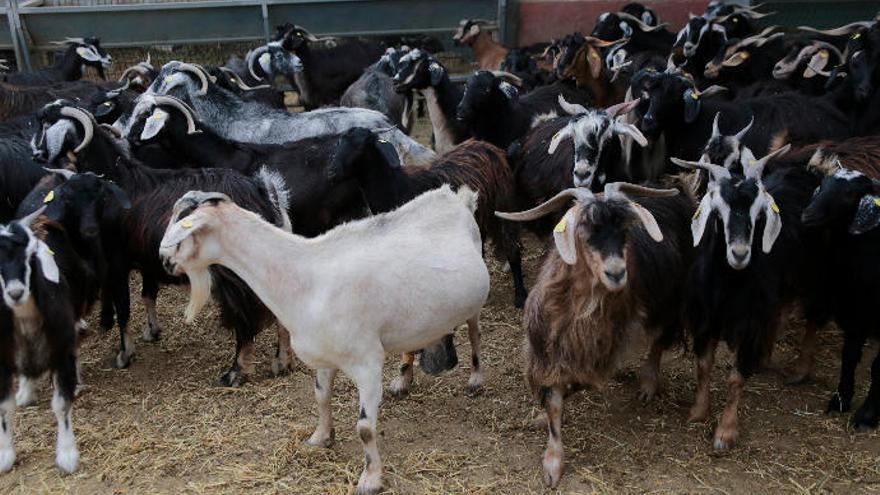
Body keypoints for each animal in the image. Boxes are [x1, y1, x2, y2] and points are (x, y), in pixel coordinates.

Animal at [32, 101, 294, 388]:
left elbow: (124, 307)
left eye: (49, 125)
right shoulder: (147, 258)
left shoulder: (117, 260)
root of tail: (262, 192)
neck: (117, 180)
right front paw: (152, 331)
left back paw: (235, 372)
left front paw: (124, 355)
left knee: (245, 316)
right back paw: (282, 362)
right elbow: (148, 294)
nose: (36, 155)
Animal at [158, 186, 488, 495]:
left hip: (475, 303)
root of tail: (457, 197)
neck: (307, 279)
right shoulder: (325, 358)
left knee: (475, 333)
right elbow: (321, 397)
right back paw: (405, 379)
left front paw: (370, 479)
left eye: (184, 225)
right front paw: (320, 437)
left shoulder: (367, 362)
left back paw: (475, 378)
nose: (164, 261)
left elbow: (365, 428)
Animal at [496, 182, 696, 488]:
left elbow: (576, 384)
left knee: (659, 340)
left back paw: (648, 385)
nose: (616, 273)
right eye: (585, 230)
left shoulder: (603, 348)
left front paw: (552, 459)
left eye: (624, 231)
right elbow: (555, 399)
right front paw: (549, 444)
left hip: (669, 298)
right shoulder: (549, 347)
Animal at [672, 145, 832, 452]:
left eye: (759, 215)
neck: (727, 286)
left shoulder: (748, 321)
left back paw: (800, 369)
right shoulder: (706, 317)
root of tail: (811, 171)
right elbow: (703, 365)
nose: (739, 253)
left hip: (817, 275)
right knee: (780, 311)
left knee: (813, 317)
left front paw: (726, 432)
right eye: (718, 214)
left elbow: (736, 378)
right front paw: (698, 412)